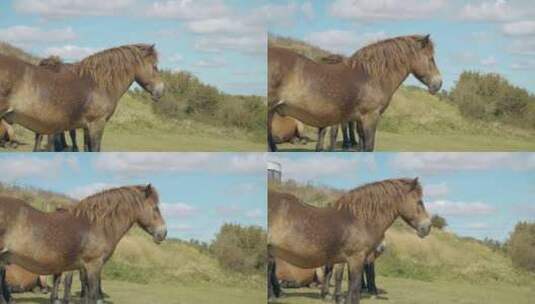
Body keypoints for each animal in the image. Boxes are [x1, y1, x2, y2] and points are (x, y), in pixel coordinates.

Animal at [0, 43, 164, 151]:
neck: (97, 83)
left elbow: (86, 148)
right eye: (154, 66)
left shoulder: (86, 126)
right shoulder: (97, 124)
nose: (161, 90)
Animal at [0, 184, 166, 304]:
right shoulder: (93, 265)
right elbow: (92, 295)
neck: (95, 225)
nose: (163, 233)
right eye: (155, 208)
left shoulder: (83, 268)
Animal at [268, 35, 444, 151]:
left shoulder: (358, 119)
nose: (438, 84)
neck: (370, 76)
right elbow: (368, 146)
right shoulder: (370, 117)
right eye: (430, 58)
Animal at [268, 178, 432, 304]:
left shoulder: (350, 260)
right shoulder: (356, 259)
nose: (427, 227)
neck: (358, 219)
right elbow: (354, 289)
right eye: (419, 201)